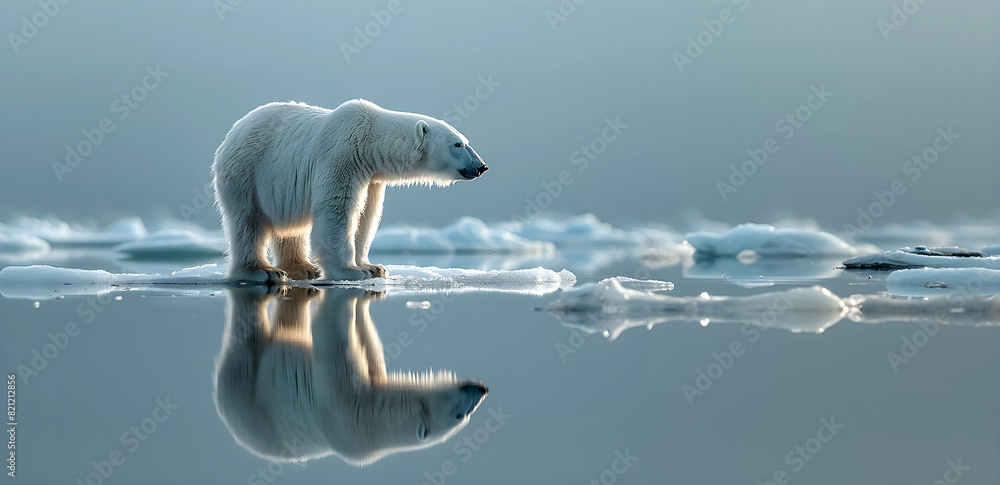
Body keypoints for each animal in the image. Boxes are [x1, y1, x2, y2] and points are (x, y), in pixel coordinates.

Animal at [212, 99, 489, 283]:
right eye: (458, 144)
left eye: (465, 141)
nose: (482, 166)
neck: (370, 140)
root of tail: (232, 133)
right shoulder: (343, 156)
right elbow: (338, 210)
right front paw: (353, 271)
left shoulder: (372, 178)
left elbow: (367, 216)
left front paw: (374, 267)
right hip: (247, 173)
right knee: (248, 222)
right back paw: (263, 272)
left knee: (291, 229)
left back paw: (303, 268)